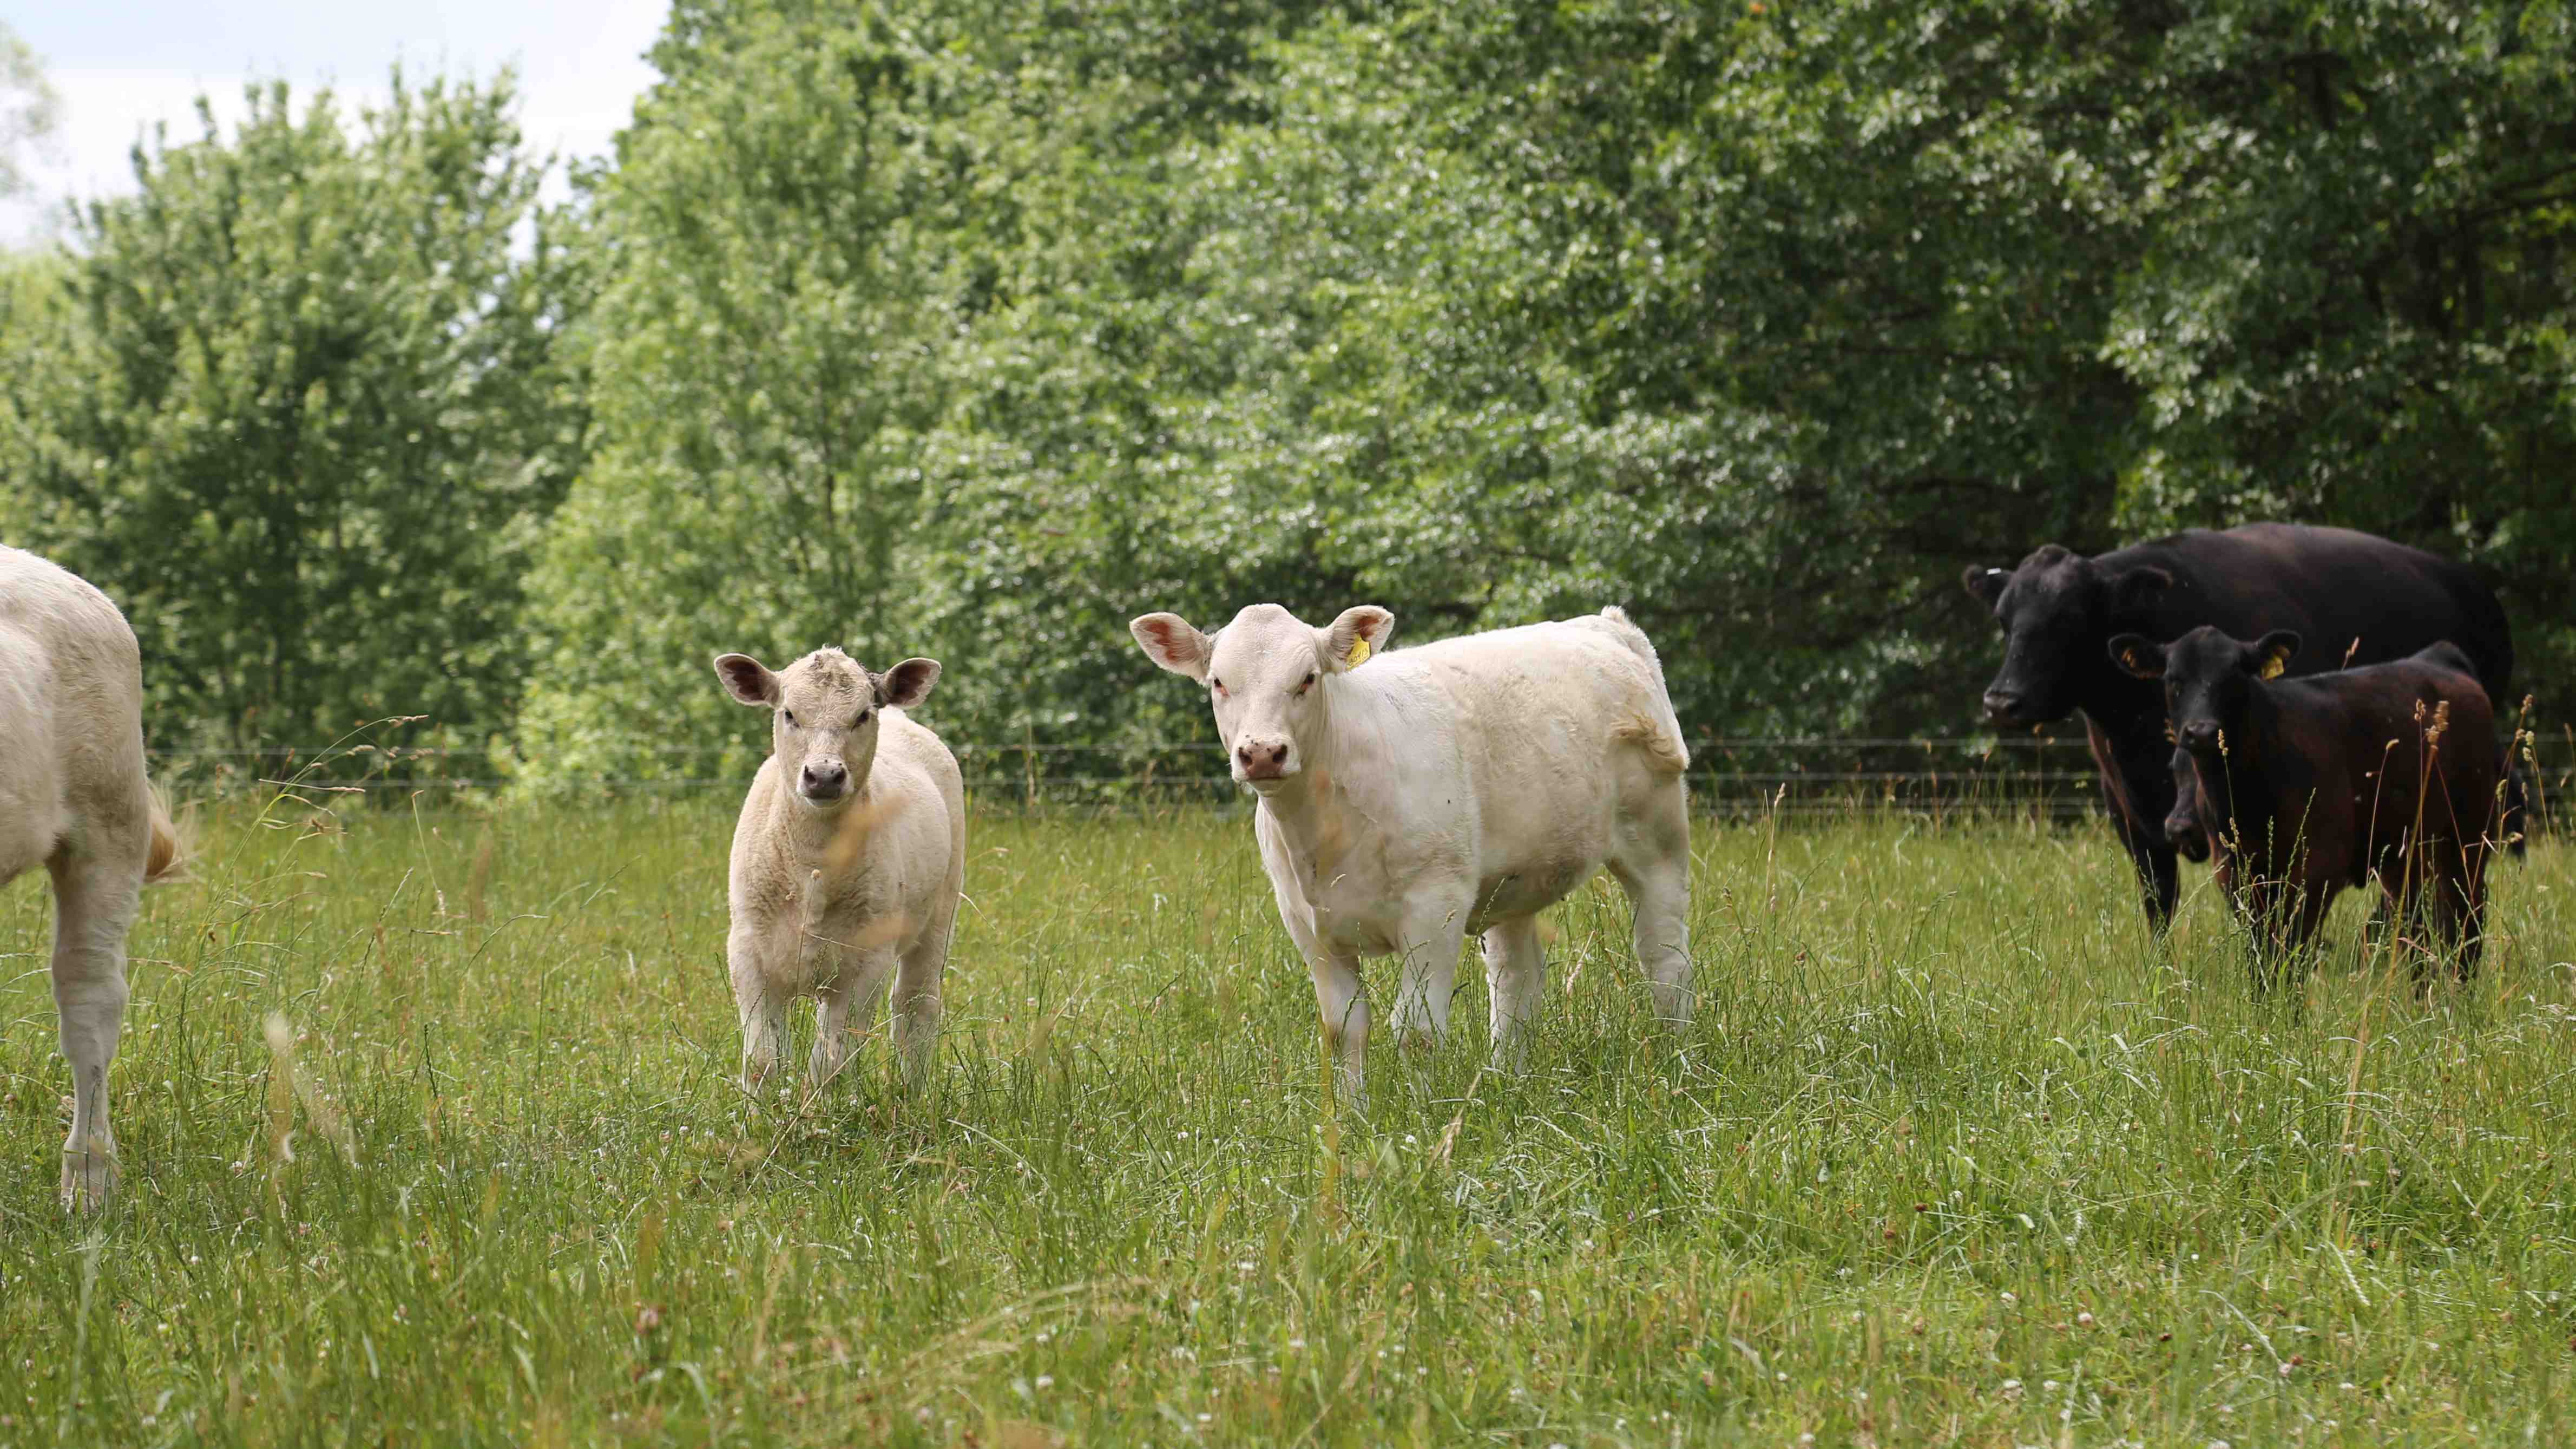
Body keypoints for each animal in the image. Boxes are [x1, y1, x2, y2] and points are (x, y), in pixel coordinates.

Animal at [716, 650, 968, 1088]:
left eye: (862, 715)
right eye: (789, 713)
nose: (824, 776)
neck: (812, 863)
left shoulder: (868, 962)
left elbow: (829, 1066)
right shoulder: (747, 951)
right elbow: (764, 1059)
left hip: (939, 916)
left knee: (915, 1009)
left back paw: (913, 1092)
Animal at [1133, 603, 1700, 1098]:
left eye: (1308, 678)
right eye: (1218, 682)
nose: (1262, 753)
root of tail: (1607, 626)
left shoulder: (1435, 907)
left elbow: (1418, 1029)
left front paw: (1421, 1118)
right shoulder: (1306, 924)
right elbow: (1344, 1028)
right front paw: (1353, 1117)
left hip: (1657, 836)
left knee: (1664, 956)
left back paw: (1677, 1061)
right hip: (1512, 881)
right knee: (1517, 978)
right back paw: (1506, 1080)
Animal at [2112, 626, 2493, 985]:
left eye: (2236, 677)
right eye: (2173, 680)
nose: (2202, 732)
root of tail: (2438, 658)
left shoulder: (2317, 870)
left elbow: (2293, 954)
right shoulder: (2237, 877)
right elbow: (2261, 959)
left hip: (2468, 838)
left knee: (2466, 922)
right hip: (2405, 853)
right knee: (2414, 927)